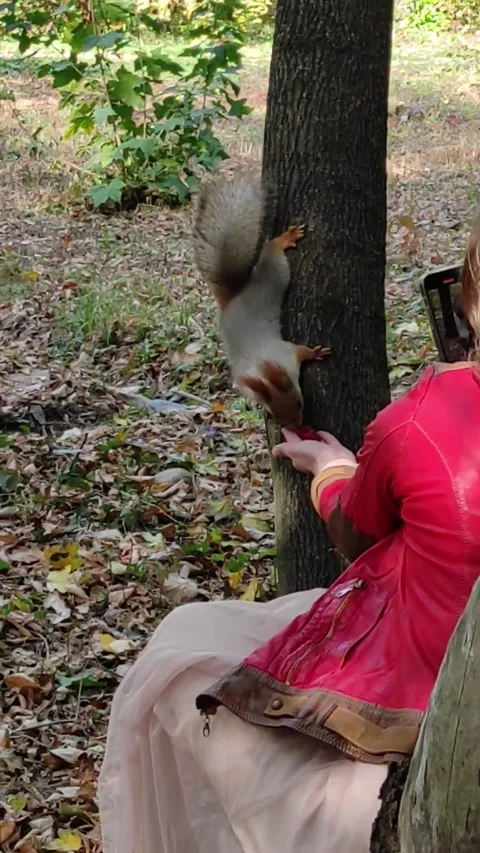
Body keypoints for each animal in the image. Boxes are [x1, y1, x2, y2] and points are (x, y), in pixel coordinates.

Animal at [192, 176, 330, 426]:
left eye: (299, 402)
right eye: (275, 413)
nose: (297, 425)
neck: (262, 368)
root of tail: (233, 298)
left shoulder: (285, 351)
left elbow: (301, 351)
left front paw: (315, 353)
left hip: (274, 272)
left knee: (271, 248)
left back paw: (286, 238)